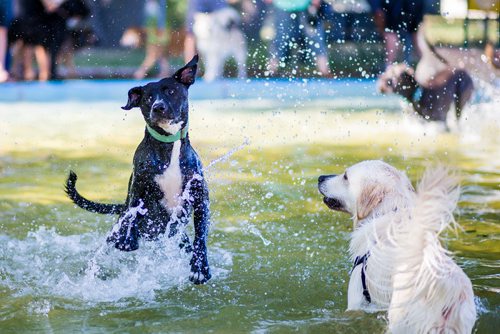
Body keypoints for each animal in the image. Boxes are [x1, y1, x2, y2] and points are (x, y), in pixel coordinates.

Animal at [65, 55, 211, 284]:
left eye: (171, 91)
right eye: (148, 98)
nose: (158, 107)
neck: (169, 146)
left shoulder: (200, 197)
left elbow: (201, 235)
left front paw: (200, 267)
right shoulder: (139, 187)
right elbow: (135, 212)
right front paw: (128, 239)